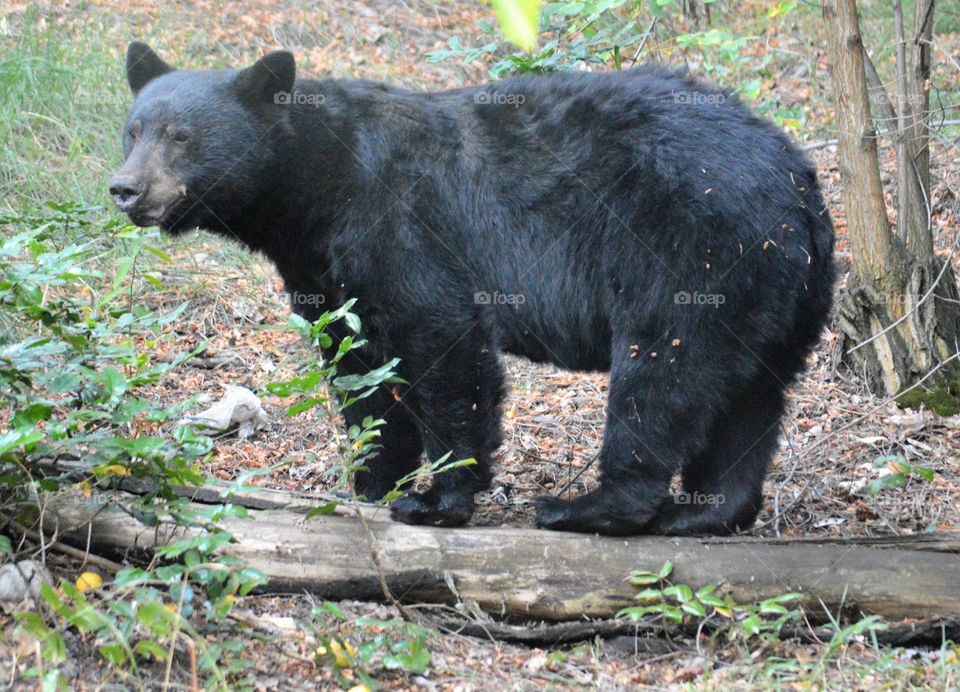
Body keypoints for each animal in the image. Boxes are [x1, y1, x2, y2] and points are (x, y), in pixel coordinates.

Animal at [110, 43, 835, 536]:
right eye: (133, 129)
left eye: (181, 136)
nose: (125, 189)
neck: (318, 185)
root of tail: (797, 181)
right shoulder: (325, 270)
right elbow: (357, 366)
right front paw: (372, 479)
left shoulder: (405, 224)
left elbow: (446, 346)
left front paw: (437, 498)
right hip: (773, 290)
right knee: (751, 401)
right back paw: (707, 513)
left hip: (691, 256)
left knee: (660, 376)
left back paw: (587, 507)